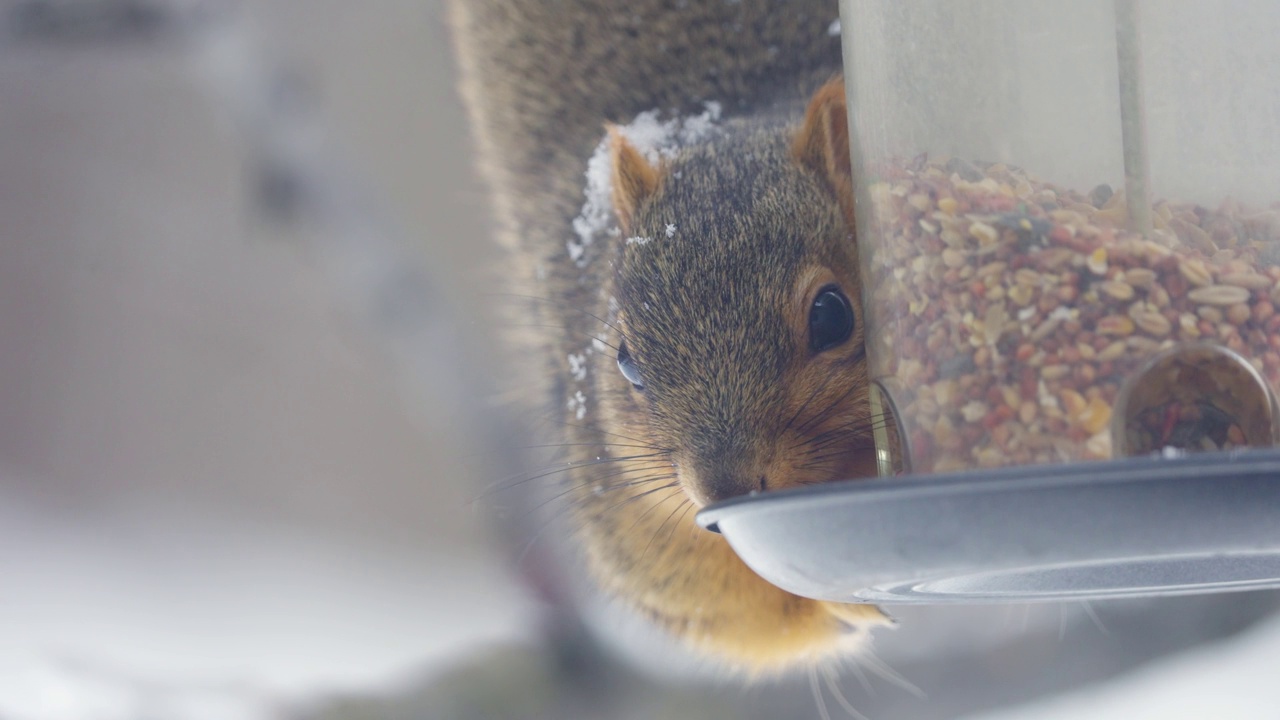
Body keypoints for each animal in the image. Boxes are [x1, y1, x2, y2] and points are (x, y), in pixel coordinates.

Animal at [448, 0, 890, 671]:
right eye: (625, 361)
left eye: (832, 315)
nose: (725, 491)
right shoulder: (626, 511)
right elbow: (735, 610)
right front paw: (844, 604)